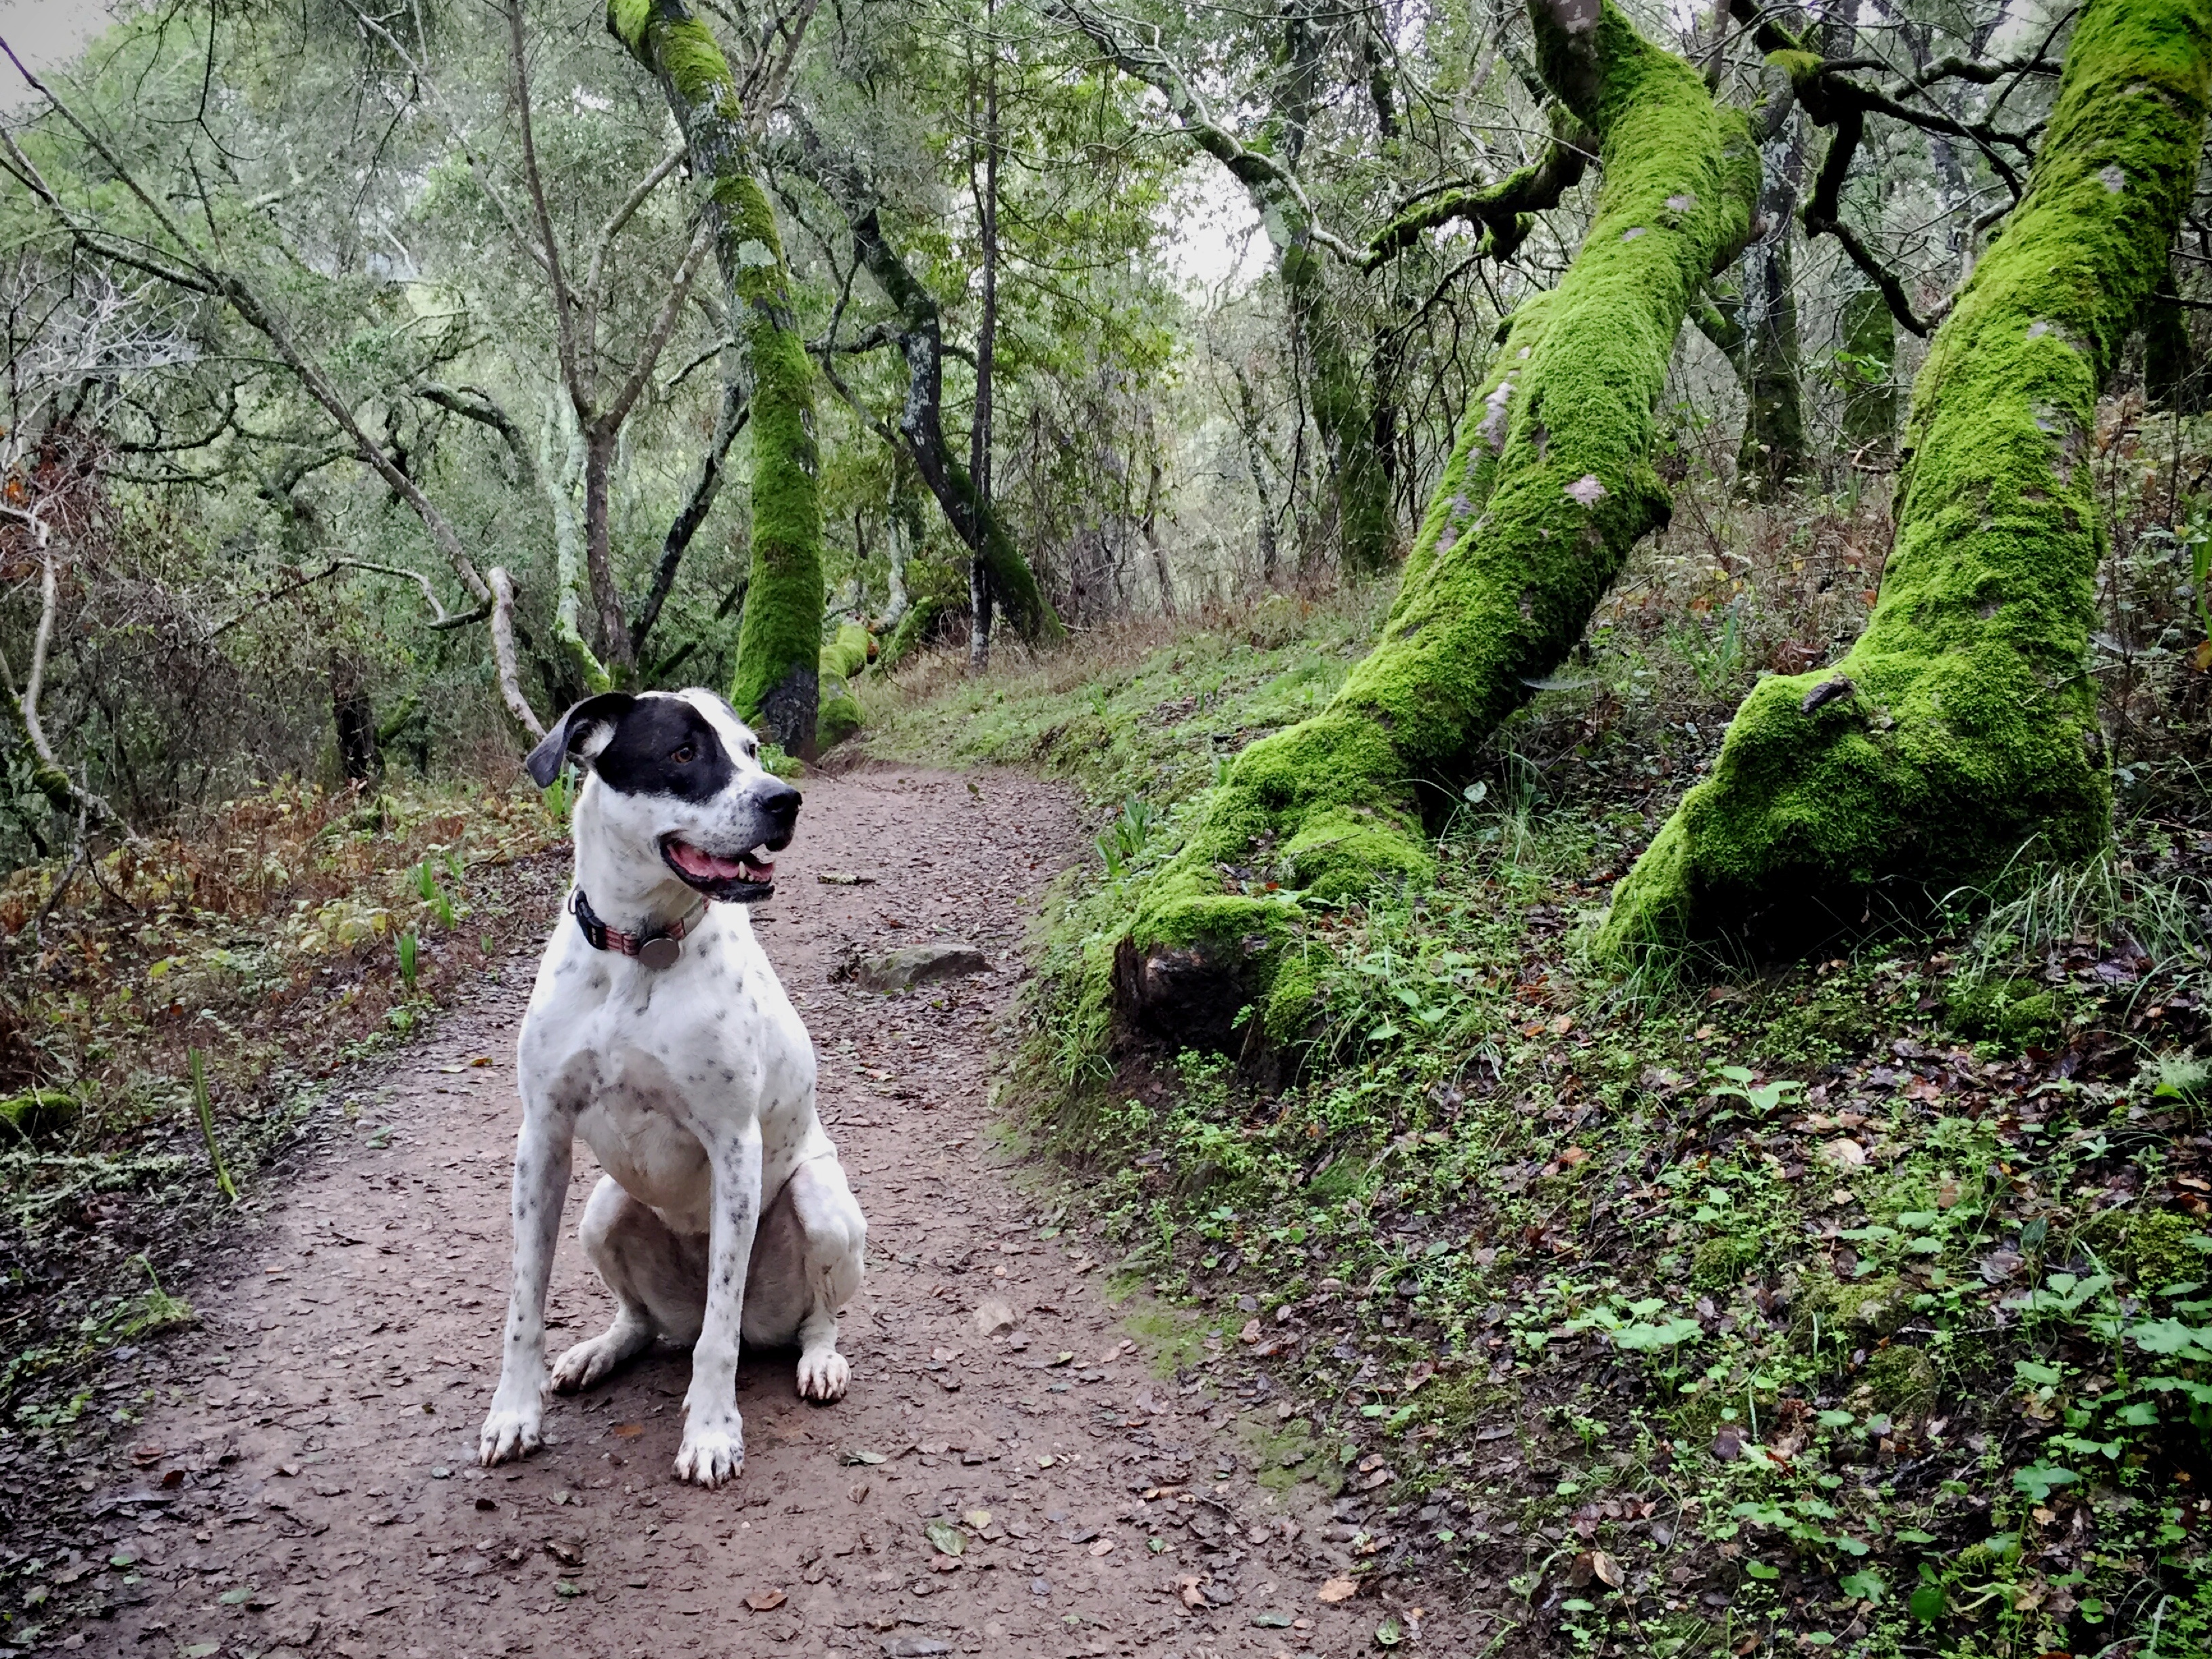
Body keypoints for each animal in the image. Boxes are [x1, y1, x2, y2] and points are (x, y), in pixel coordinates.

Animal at [477, 688, 866, 1487]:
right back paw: (600, 1351)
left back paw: (818, 1360)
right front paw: (514, 1414)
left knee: (801, 1317)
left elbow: (718, 1336)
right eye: (684, 753)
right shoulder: (542, 1141)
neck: (642, 950)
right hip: (601, 1211)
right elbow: (523, 1306)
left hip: (821, 1205)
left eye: (751, 749)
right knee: (642, 1321)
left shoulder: (735, 1148)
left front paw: (712, 1432)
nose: (785, 800)